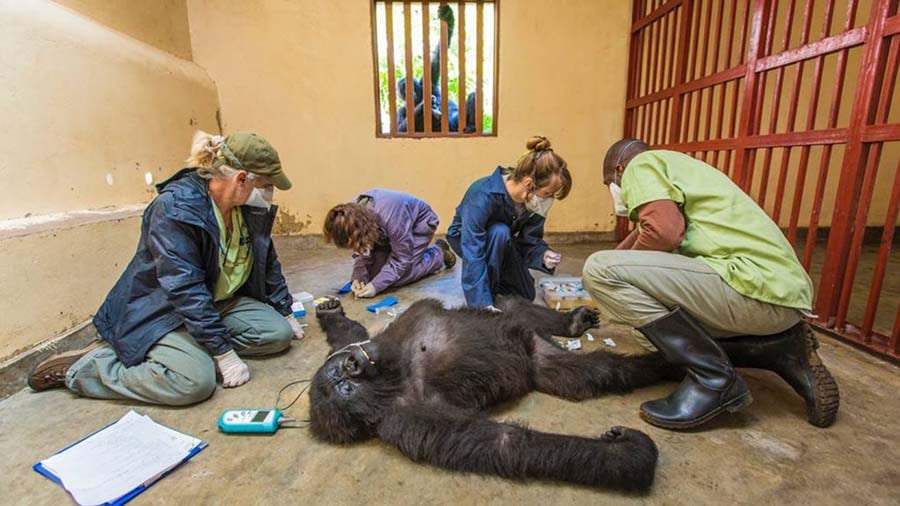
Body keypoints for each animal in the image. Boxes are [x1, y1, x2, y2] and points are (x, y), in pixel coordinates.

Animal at [310, 294, 676, 492]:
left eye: (345, 371)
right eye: (346, 388)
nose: (355, 363)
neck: (395, 370)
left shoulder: (367, 342)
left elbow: (350, 333)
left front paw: (331, 314)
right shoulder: (408, 420)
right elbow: (505, 444)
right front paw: (628, 457)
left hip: (527, 335)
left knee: (511, 305)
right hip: (544, 360)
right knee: (592, 371)